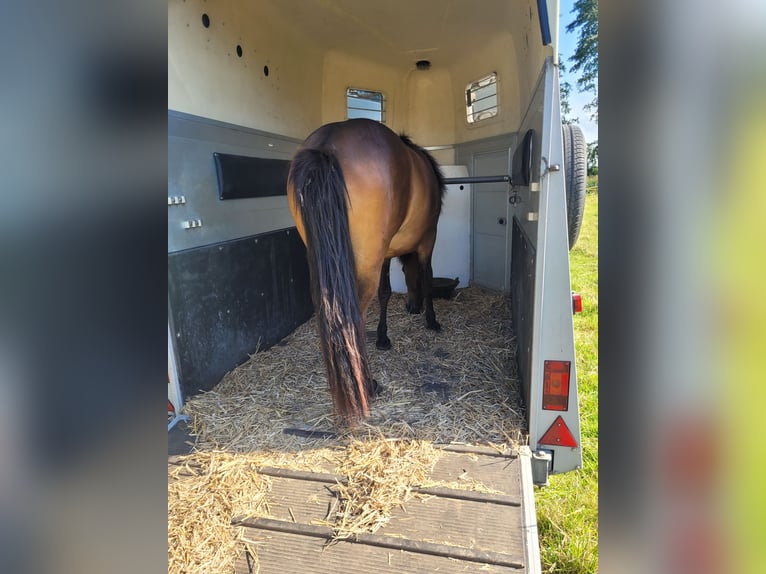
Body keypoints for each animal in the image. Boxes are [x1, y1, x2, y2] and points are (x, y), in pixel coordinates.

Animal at [286, 118, 444, 424]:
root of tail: (326, 144)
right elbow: (428, 275)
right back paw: (365, 385)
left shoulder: (385, 254)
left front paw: (383, 337)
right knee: (352, 320)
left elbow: (385, 292)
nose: (413, 307)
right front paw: (431, 320)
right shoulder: (428, 240)